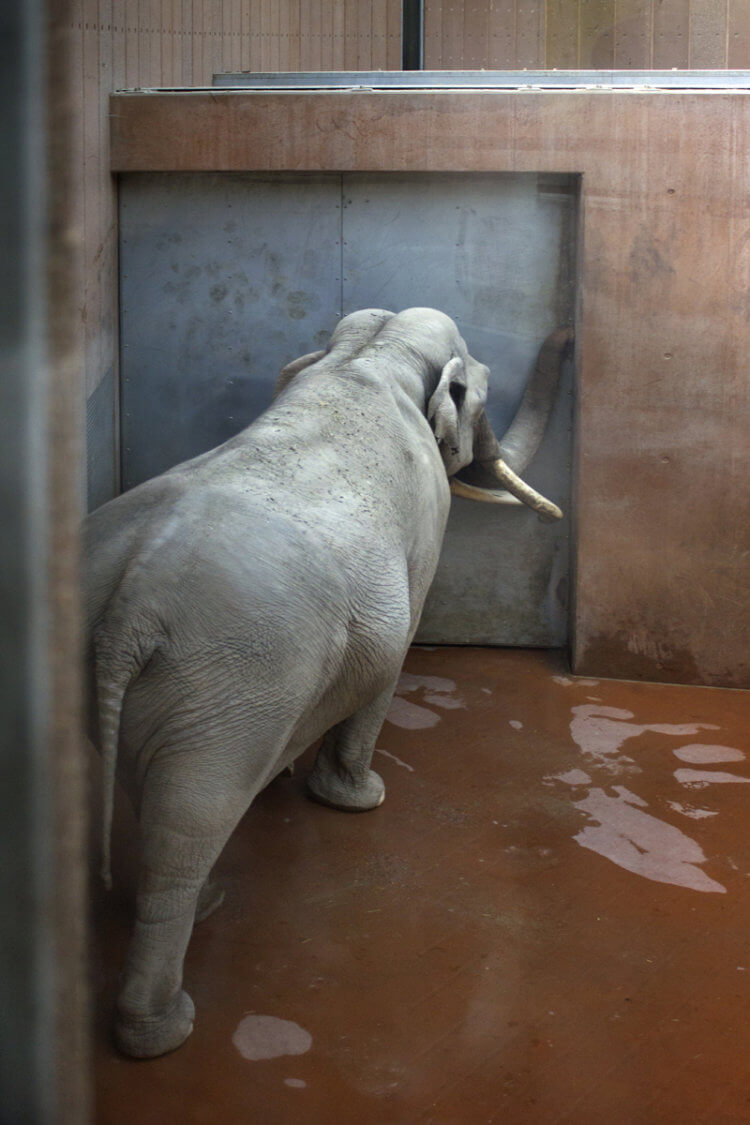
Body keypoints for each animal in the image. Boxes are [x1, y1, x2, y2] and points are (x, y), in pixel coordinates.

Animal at [84, 306, 571, 1058]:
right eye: (482, 393)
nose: (568, 334)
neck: (367, 354)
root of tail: (130, 605)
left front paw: (290, 780)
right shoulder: (426, 518)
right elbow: (397, 647)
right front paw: (359, 801)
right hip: (230, 682)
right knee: (188, 822)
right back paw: (163, 1026)